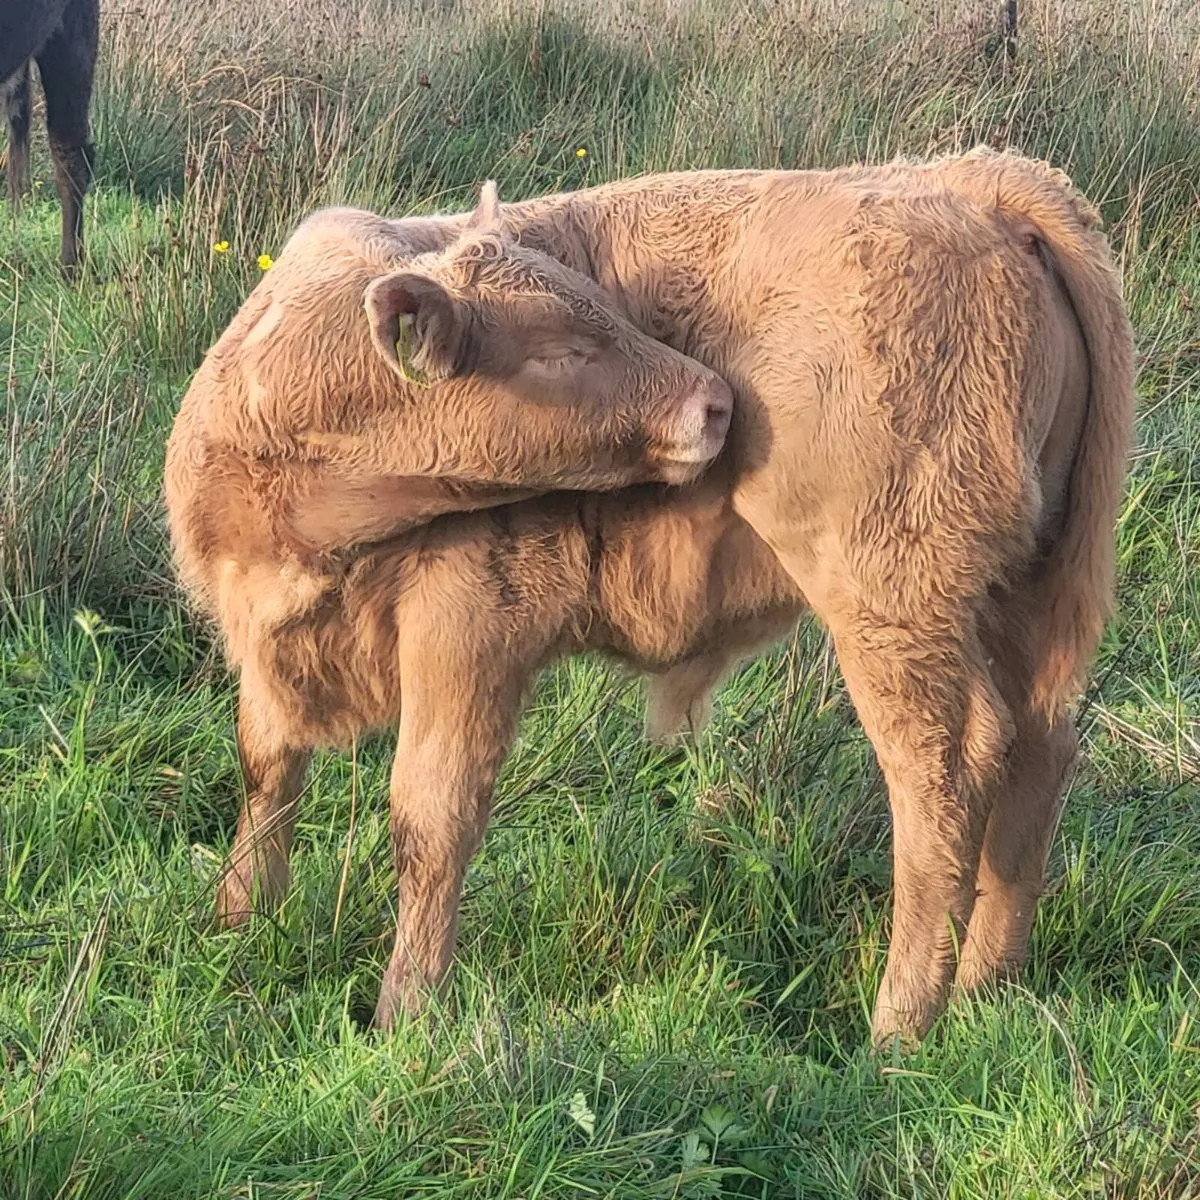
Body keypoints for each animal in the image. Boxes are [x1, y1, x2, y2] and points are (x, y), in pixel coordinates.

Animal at [174, 148, 1135, 1049]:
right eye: (564, 348)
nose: (716, 403)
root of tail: (974, 185)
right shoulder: (262, 643)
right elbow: (267, 770)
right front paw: (237, 920)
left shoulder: (466, 632)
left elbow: (430, 817)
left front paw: (405, 1007)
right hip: (1021, 597)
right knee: (1039, 749)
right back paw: (984, 992)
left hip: (893, 605)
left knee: (943, 777)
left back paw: (900, 1022)